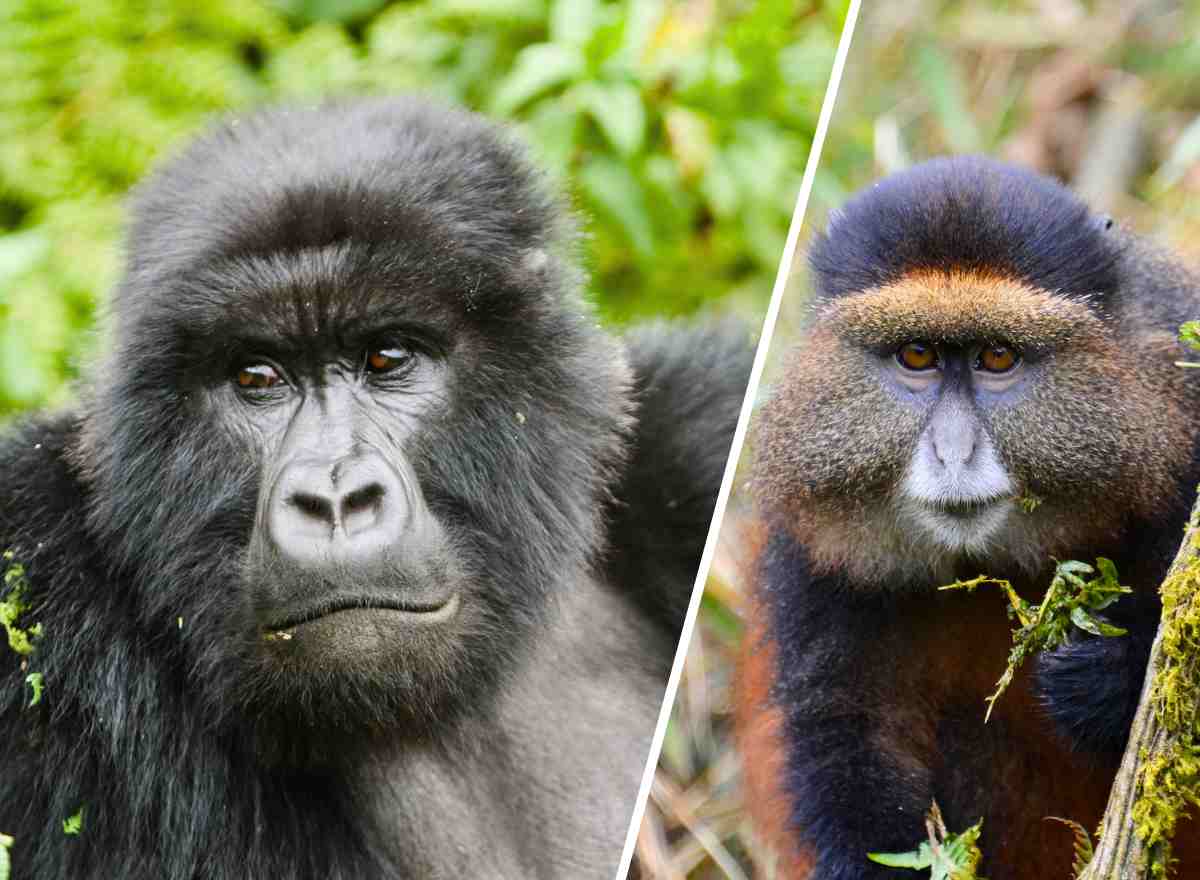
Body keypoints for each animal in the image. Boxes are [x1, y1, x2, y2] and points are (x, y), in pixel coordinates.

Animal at [736, 155, 1200, 878]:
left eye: (998, 358)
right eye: (917, 356)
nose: (954, 453)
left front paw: (1099, 679)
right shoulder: (810, 551)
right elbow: (847, 732)